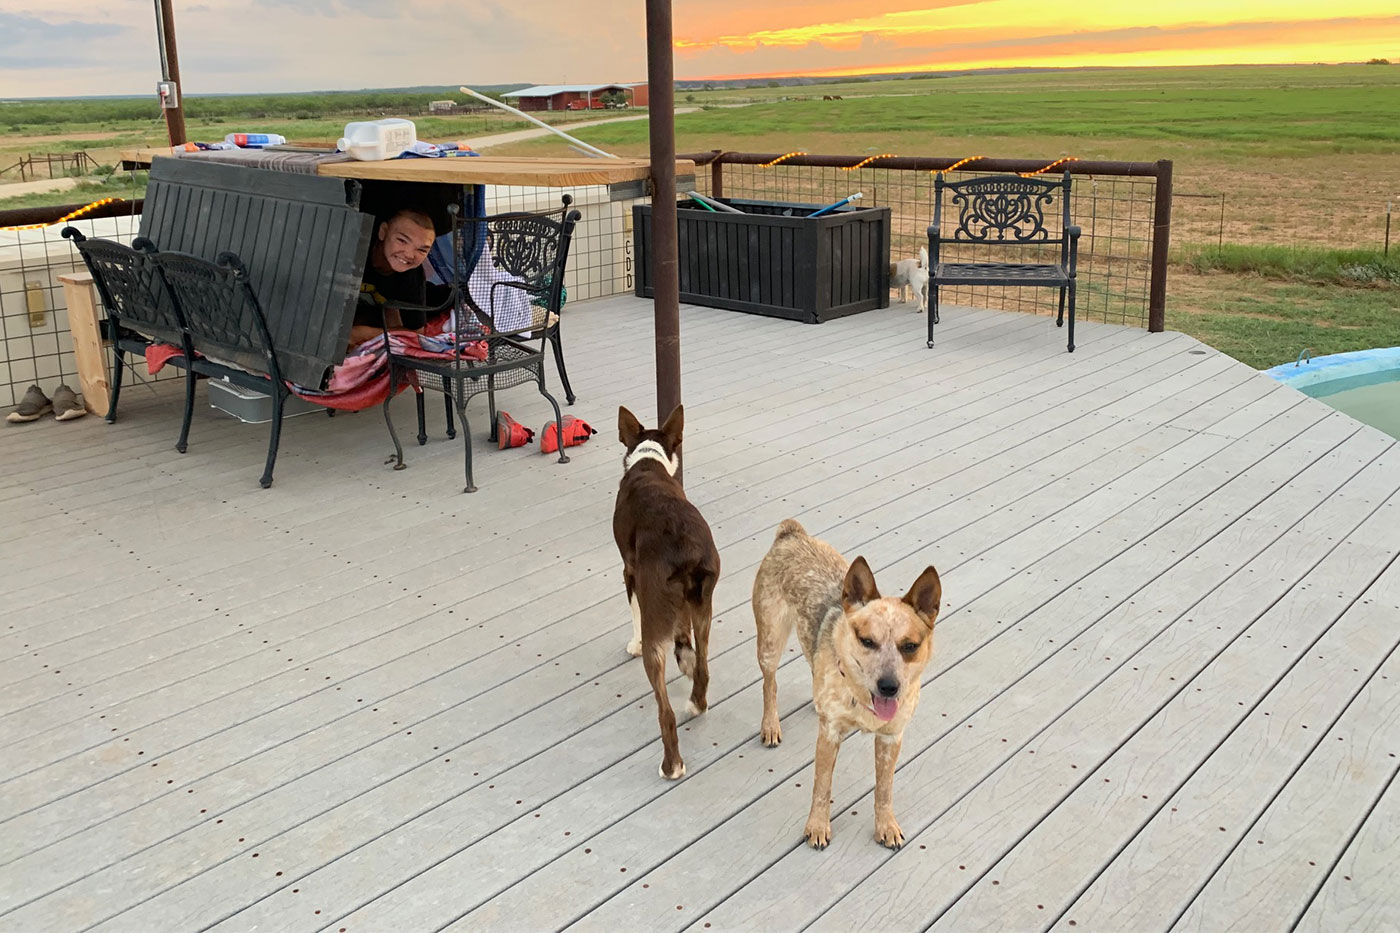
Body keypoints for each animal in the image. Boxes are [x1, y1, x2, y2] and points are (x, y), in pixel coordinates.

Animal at [613, 403, 722, 773]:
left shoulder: (630, 572)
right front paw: (683, 653)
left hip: (656, 621)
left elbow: (632, 612)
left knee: (665, 712)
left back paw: (671, 764)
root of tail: (684, 547)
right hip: (704, 604)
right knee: (703, 666)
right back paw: (697, 701)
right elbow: (683, 631)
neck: (650, 461)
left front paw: (632, 644)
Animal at [756, 518, 940, 846]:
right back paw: (771, 725)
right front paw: (817, 826)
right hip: (769, 643)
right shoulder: (829, 735)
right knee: (770, 684)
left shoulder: (891, 738)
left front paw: (886, 825)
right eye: (867, 641)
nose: (889, 687)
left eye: (910, 646)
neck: (861, 697)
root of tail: (792, 534)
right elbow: (822, 786)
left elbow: (884, 789)